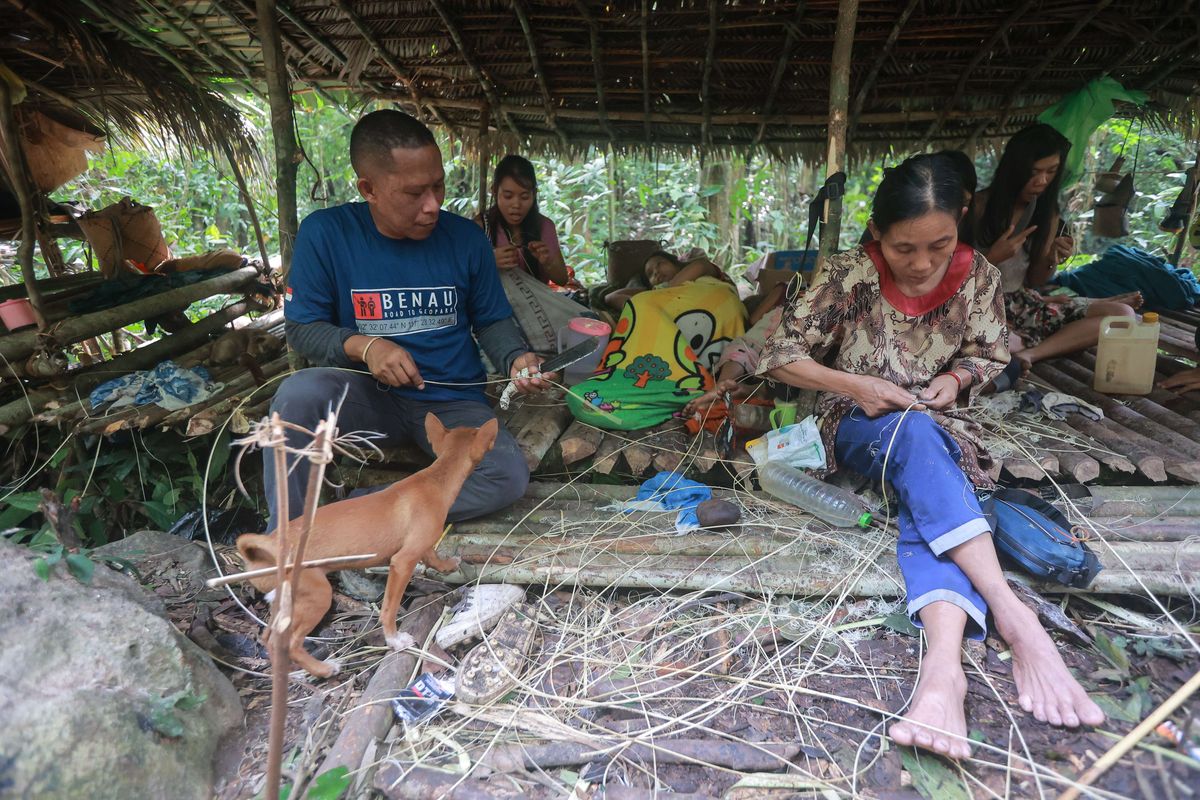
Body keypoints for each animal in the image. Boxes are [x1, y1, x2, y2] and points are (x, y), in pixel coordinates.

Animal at [234, 417, 496, 681]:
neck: (435, 478)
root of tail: (268, 546)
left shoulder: (421, 546)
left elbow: (433, 557)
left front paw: (448, 565)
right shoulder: (402, 562)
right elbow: (389, 609)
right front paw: (394, 640)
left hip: (284, 599)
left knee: (270, 639)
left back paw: (290, 674)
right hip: (317, 594)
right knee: (291, 642)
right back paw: (322, 669)